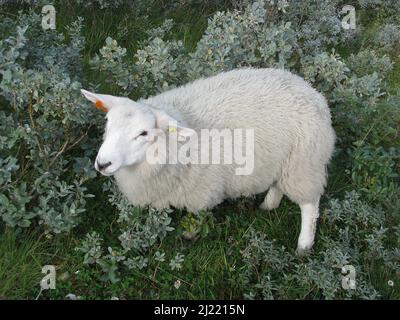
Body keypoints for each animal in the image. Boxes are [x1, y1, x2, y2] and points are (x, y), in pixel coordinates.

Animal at [81, 69, 334, 254]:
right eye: (107, 121)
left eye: (143, 133)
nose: (102, 164)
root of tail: (310, 90)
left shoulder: (201, 190)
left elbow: (197, 217)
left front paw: (189, 235)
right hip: (282, 160)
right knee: (278, 184)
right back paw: (268, 205)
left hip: (304, 162)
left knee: (310, 205)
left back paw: (304, 245)